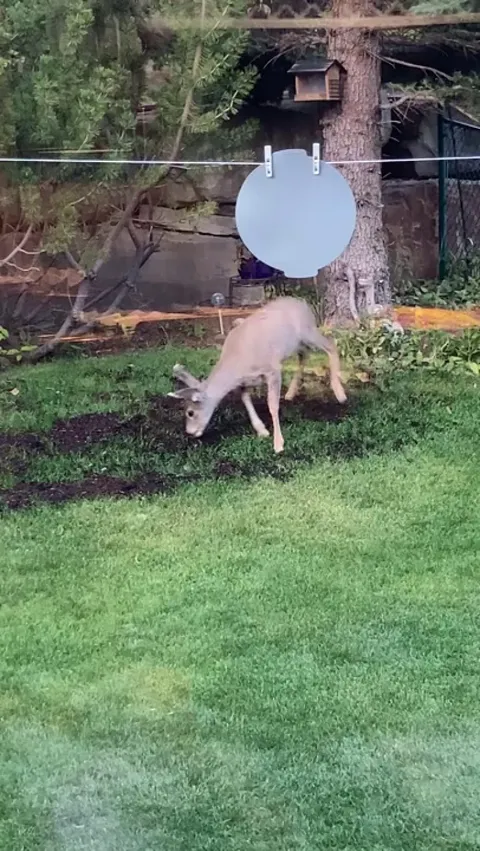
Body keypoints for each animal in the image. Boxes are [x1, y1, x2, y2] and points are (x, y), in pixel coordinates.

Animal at [168, 296, 347, 454]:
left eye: (190, 412)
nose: (189, 432)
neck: (237, 364)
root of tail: (302, 302)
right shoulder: (244, 382)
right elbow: (245, 399)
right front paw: (262, 430)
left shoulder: (273, 370)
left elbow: (272, 405)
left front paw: (278, 444)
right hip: (296, 343)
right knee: (305, 354)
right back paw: (290, 393)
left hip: (308, 330)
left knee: (330, 344)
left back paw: (340, 393)